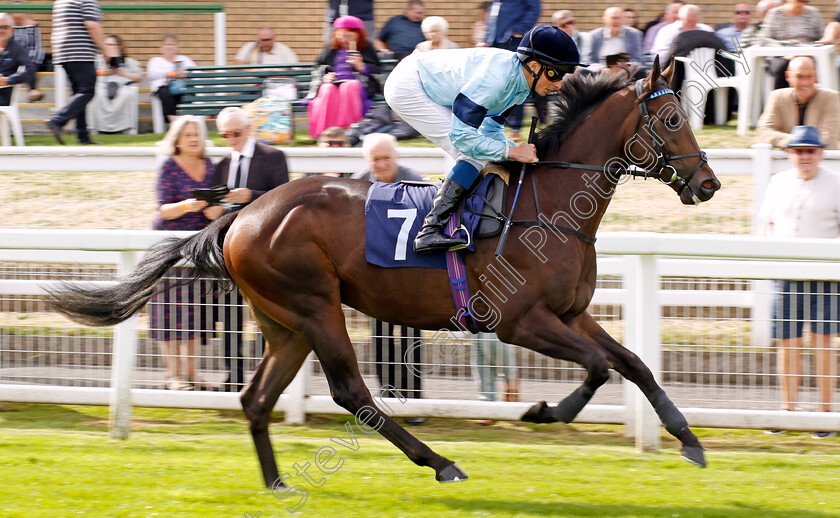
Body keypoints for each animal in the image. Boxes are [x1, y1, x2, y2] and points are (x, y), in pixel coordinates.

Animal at [50, 59, 720, 490]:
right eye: (669, 122)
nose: (708, 183)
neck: (548, 204)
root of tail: (244, 212)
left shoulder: (571, 313)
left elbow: (633, 363)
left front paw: (689, 440)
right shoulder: (519, 322)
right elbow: (601, 367)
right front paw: (543, 412)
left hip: (285, 323)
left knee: (256, 398)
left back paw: (278, 484)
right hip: (315, 305)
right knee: (353, 393)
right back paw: (441, 462)